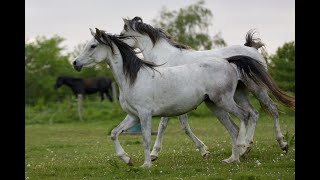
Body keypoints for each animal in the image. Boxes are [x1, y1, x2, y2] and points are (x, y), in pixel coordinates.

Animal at [74, 28, 284, 167]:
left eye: (92, 46)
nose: (75, 63)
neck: (134, 78)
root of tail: (228, 61)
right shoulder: (133, 116)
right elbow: (114, 133)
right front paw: (128, 160)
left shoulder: (144, 115)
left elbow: (146, 138)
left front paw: (147, 164)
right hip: (214, 105)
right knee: (235, 126)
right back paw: (232, 158)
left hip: (227, 100)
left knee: (248, 116)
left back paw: (250, 147)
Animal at [120, 16, 296, 160]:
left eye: (122, 35)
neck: (165, 59)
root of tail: (251, 48)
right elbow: (180, 126)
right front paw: (202, 150)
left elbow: (165, 126)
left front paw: (154, 153)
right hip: (239, 93)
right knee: (253, 114)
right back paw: (246, 147)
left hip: (257, 89)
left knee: (272, 109)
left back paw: (282, 144)